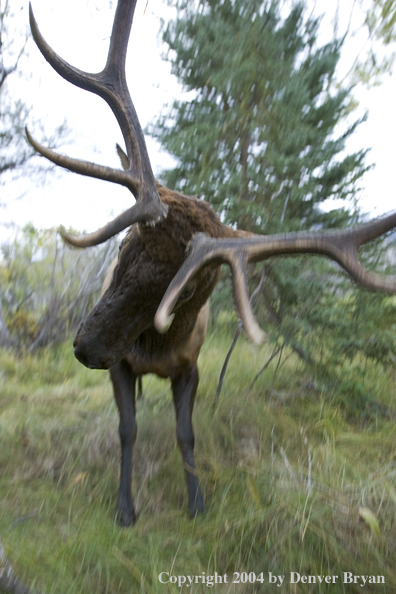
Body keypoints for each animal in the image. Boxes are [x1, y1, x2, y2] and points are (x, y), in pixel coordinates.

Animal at [28, 1, 396, 528]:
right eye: (123, 248)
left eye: (184, 288)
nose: (85, 346)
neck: (155, 350)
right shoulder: (121, 367)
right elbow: (126, 430)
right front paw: (125, 508)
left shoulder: (191, 366)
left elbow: (187, 434)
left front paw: (197, 502)